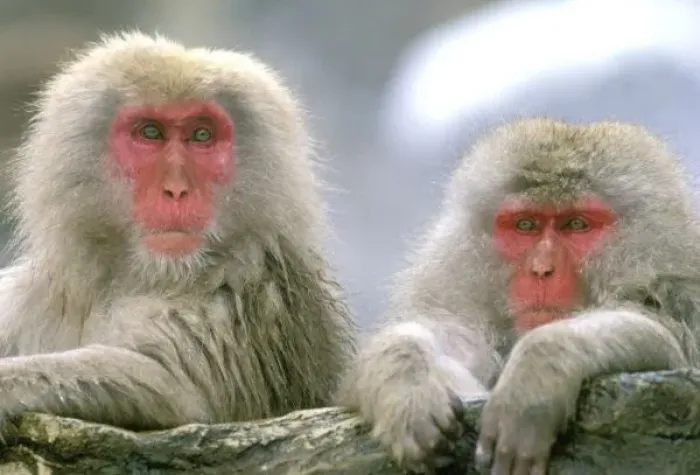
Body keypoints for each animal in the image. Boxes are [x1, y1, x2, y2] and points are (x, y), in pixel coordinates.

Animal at [0, 31, 355, 432]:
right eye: (150, 132)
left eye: (201, 135)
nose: (176, 190)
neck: (135, 278)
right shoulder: (24, 300)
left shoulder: (243, 291)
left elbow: (170, 384)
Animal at [336, 117, 700, 475]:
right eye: (525, 225)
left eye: (576, 224)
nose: (541, 270)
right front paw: (407, 382)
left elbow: (669, 346)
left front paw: (537, 370)